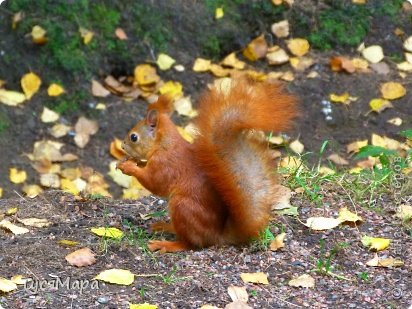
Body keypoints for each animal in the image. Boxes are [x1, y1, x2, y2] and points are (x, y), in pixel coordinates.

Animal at [116, 76, 296, 251]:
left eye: (134, 137)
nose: (122, 146)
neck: (164, 145)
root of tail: (216, 236)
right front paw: (132, 161)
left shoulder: (165, 164)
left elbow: (154, 183)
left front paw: (128, 167)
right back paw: (165, 227)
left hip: (183, 207)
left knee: (189, 244)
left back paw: (168, 245)